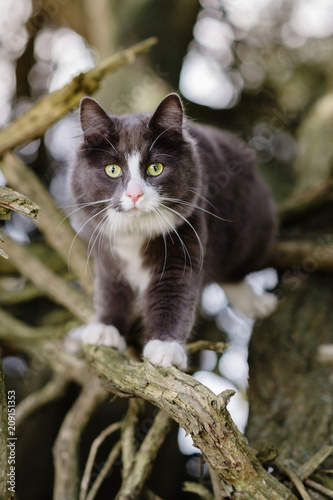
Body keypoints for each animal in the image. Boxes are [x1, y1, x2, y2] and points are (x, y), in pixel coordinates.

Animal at [66, 93, 276, 372]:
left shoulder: (185, 244)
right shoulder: (106, 251)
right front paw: (106, 328)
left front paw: (166, 348)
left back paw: (257, 303)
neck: (136, 234)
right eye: (112, 169)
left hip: (251, 230)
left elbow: (174, 295)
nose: (135, 194)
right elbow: (111, 290)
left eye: (155, 168)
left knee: (235, 272)